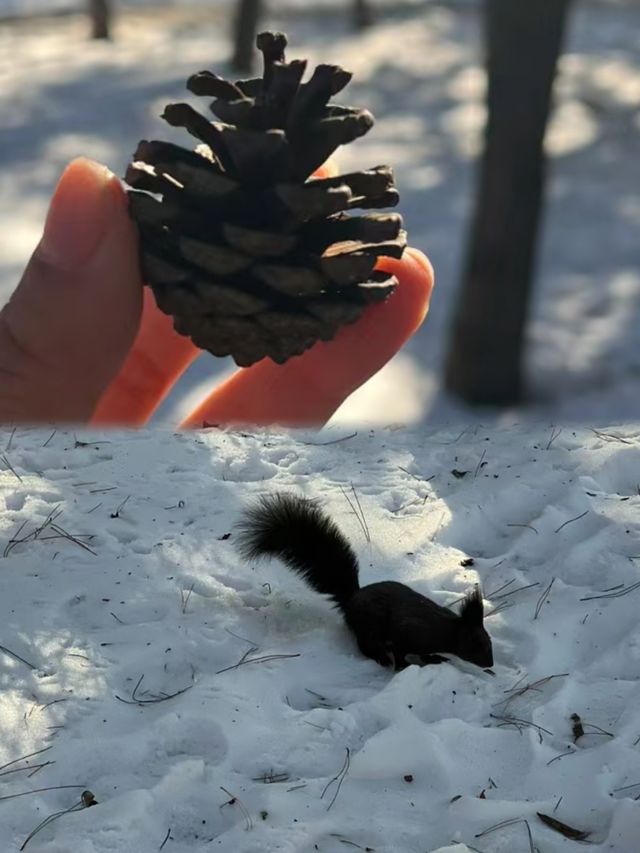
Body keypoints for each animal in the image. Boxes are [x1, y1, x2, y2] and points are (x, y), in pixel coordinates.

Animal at [238, 496, 492, 668]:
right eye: (477, 644)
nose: (490, 664)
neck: (445, 629)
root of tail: (353, 598)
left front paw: (435, 658)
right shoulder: (409, 632)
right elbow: (401, 651)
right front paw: (403, 665)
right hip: (371, 624)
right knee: (365, 643)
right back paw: (379, 657)